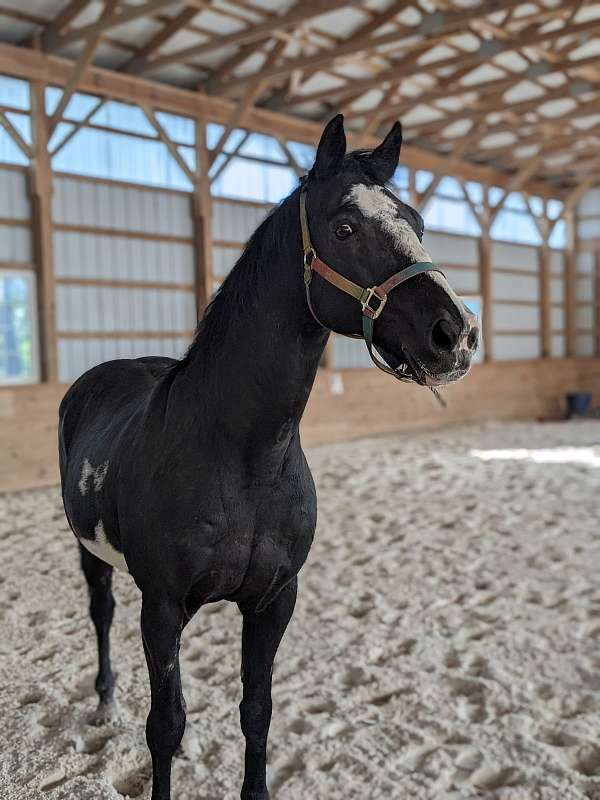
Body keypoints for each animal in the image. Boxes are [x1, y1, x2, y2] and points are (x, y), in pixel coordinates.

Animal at [59, 114, 478, 800]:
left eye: (416, 222)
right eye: (344, 227)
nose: (457, 335)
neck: (245, 460)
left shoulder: (274, 600)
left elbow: (257, 711)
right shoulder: (161, 605)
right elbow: (163, 727)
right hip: (93, 558)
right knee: (101, 614)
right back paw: (105, 703)